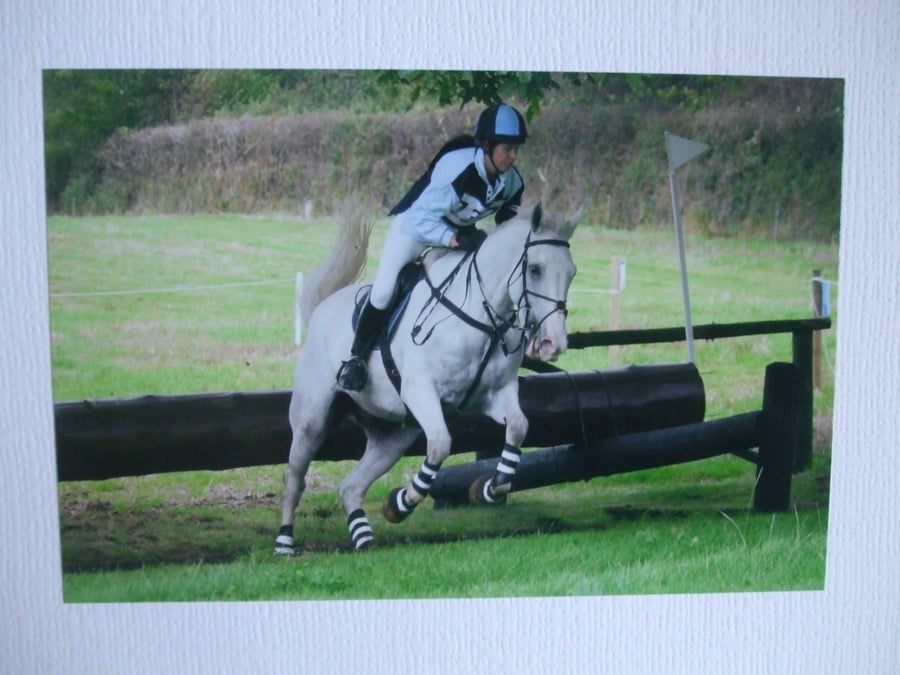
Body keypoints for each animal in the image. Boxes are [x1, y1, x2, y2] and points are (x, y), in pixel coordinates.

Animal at [275, 201, 582, 554]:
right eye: (535, 269)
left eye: (572, 272)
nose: (553, 343)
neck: (481, 315)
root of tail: (322, 308)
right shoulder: (421, 391)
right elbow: (439, 445)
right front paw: (400, 503)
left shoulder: (496, 394)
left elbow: (518, 428)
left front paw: (491, 487)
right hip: (312, 418)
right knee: (294, 478)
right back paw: (284, 543)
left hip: (391, 436)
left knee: (350, 486)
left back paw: (363, 538)